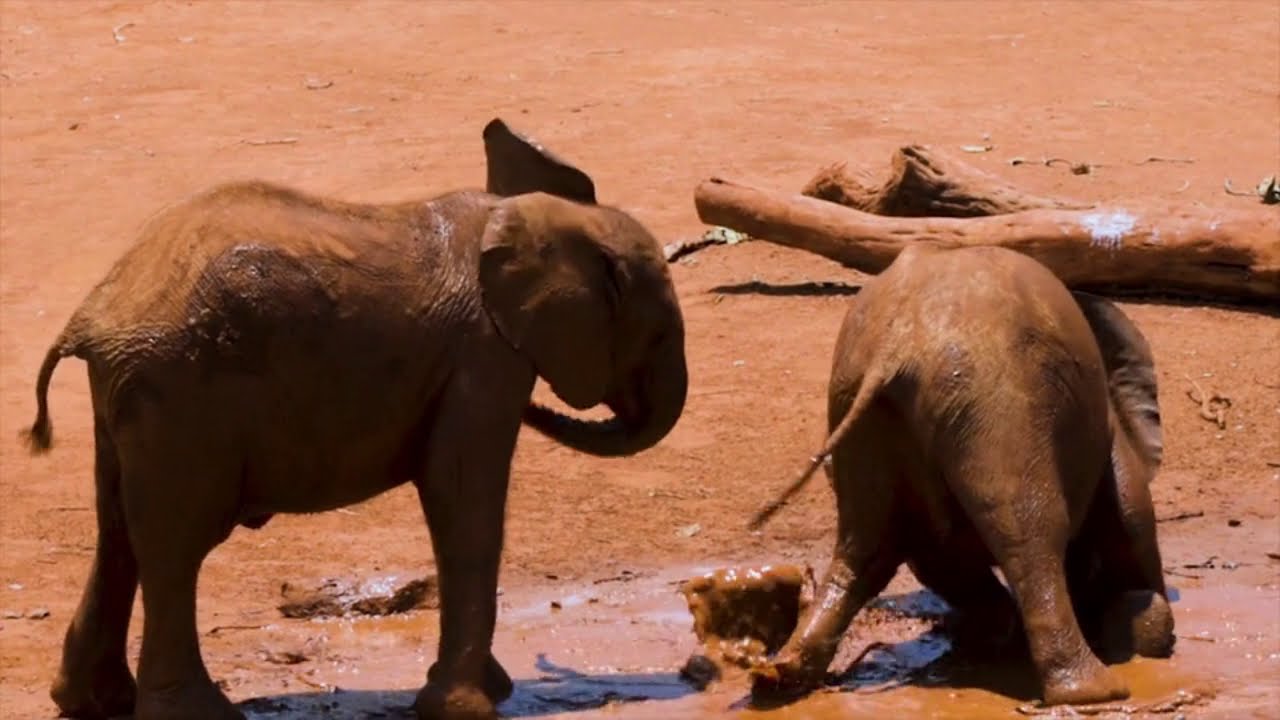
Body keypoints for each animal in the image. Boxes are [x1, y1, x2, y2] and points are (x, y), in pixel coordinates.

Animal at [20, 118, 688, 720]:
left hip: (136, 397)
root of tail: (92, 315)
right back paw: (199, 713)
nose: (541, 408)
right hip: (179, 393)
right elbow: (461, 494)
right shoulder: (481, 357)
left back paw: (91, 703)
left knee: (120, 532)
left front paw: (491, 692)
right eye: (659, 335)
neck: (533, 215)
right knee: (175, 542)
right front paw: (470, 707)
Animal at [746, 244, 1173, 707]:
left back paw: (776, 678)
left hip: (859, 403)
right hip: (996, 406)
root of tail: (893, 347)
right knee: (1031, 532)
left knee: (866, 549)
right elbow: (1131, 521)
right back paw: (1096, 691)